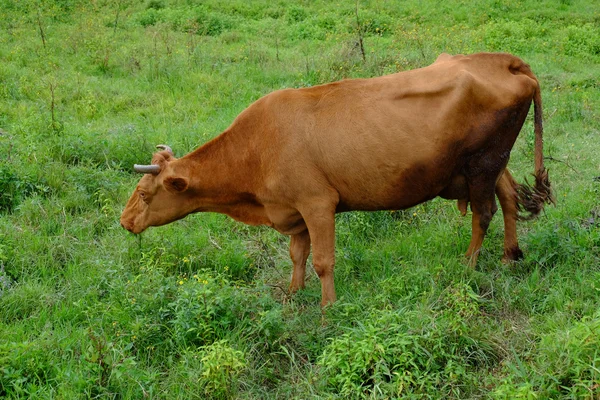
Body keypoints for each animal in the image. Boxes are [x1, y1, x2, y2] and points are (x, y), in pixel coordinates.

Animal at [120, 53, 552, 306]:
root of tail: (502, 60)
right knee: (509, 197)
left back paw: (469, 265)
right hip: (490, 163)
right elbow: (297, 255)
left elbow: (323, 261)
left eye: (142, 193)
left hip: (483, 163)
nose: (124, 222)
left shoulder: (317, 204)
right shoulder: (293, 210)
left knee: (484, 213)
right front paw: (292, 296)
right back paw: (509, 256)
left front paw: (328, 310)